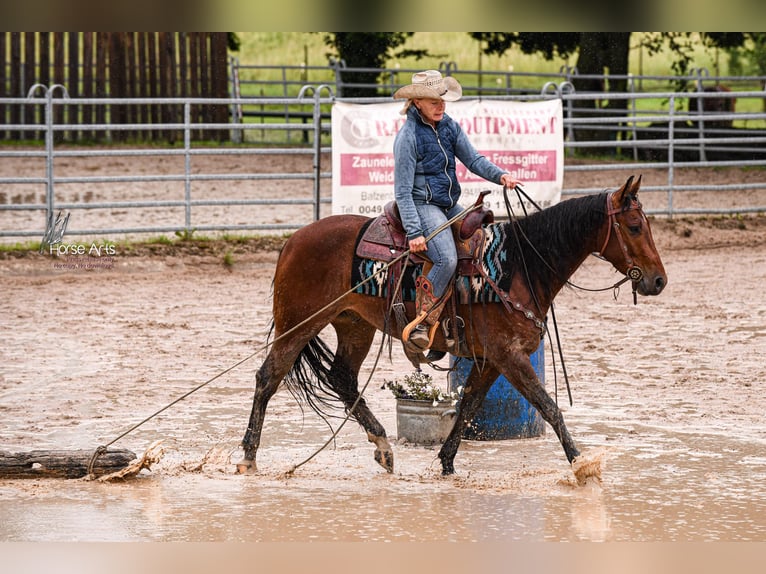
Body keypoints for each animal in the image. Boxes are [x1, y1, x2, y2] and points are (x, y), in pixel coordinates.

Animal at [236, 175, 667, 483]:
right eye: (633, 226)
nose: (658, 281)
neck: (520, 266)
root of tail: (293, 240)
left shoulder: (490, 359)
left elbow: (469, 405)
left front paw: (446, 463)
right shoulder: (510, 356)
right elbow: (549, 407)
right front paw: (581, 465)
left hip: (353, 325)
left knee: (342, 378)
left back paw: (383, 447)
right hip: (299, 322)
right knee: (268, 377)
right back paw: (248, 457)